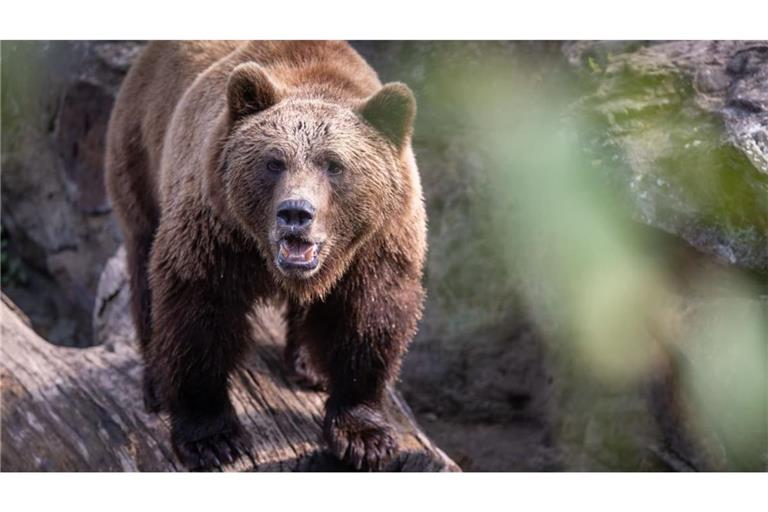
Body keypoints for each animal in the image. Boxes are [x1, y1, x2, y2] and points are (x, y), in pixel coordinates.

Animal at [104, 41, 426, 471]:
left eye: (334, 165)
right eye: (274, 162)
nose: (295, 213)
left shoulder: (378, 243)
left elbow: (369, 319)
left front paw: (364, 436)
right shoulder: (217, 232)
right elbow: (197, 314)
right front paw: (212, 438)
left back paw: (310, 366)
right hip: (140, 152)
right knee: (144, 265)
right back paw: (156, 381)